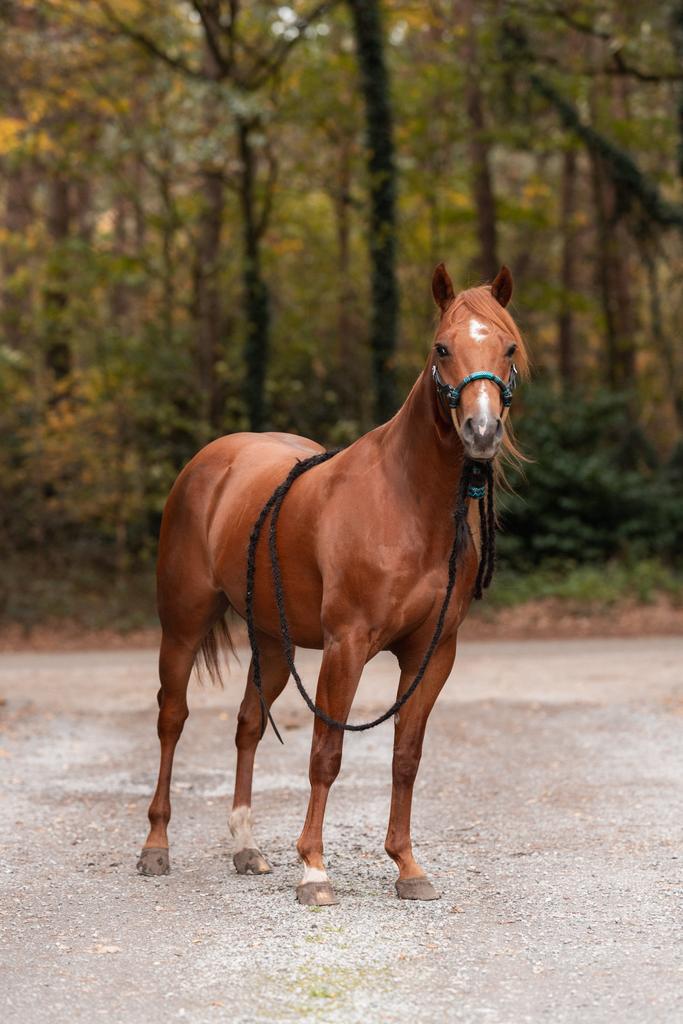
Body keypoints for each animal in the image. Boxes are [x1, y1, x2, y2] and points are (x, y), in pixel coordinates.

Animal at [137, 262, 528, 905]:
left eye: (509, 346)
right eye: (441, 348)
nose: (481, 430)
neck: (407, 502)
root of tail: (212, 460)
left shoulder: (432, 653)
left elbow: (405, 757)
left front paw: (407, 866)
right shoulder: (346, 646)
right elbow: (327, 754)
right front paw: (314, 871)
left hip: (274, 643)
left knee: (248, 724)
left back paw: (245, 847)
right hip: (184, 625)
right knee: (172, 719)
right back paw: (155, 846)